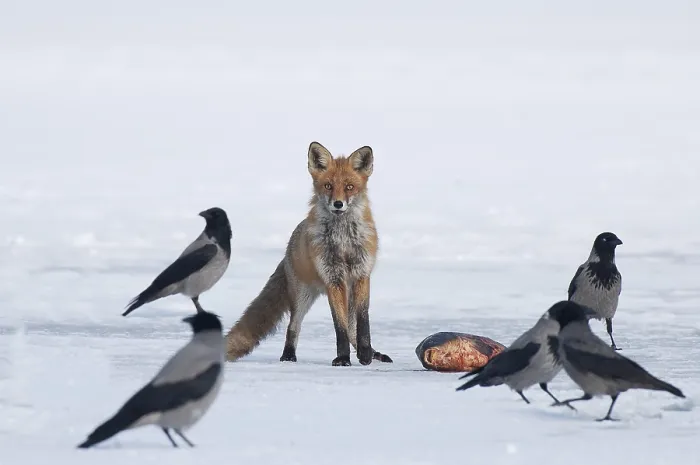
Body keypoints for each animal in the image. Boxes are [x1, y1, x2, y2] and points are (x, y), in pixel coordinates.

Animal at [224, 141, 393, 366]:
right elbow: (339, 327)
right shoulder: (333, 280)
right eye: (328, 186)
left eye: (349, 187)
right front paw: (342, 358)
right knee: (293, 327)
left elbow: (363, 323)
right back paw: (288, 356)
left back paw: (371, 354)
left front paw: (365, 353)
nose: (338, 204)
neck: (343, 240)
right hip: (302, 296)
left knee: (352, 328)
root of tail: (289, 247)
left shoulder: (361, 275)